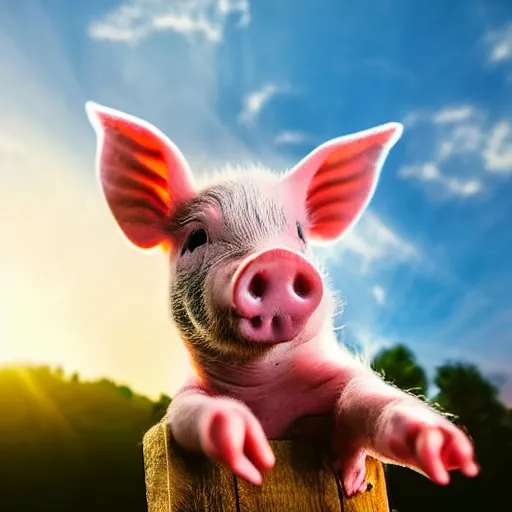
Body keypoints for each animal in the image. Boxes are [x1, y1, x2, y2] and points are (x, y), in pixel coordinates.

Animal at [86, 101, 478, 496]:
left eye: (300, 233)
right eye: (196, 237)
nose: (275, 258)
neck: (268, 392)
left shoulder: (343, 377)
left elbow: (365, 396)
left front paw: (446, 448)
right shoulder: (181, 404)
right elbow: (196, 416)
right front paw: (250, 450)